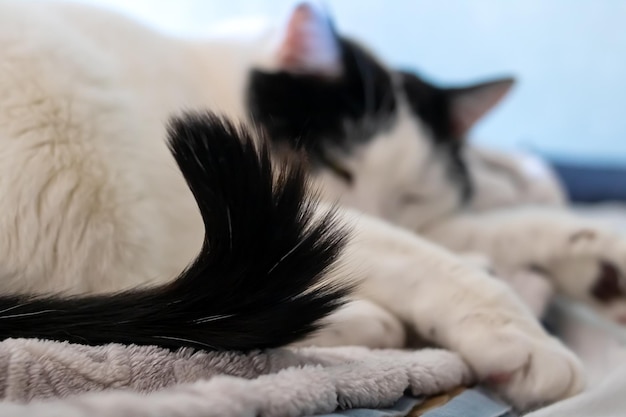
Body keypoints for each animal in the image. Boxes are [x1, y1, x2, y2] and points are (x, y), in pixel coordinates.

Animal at [0, 0, 596, 408]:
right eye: (336, 166)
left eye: (412, 193)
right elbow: (418, 255)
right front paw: (521, 334)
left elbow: (476, 228)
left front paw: (588, 250)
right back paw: (364, 318)